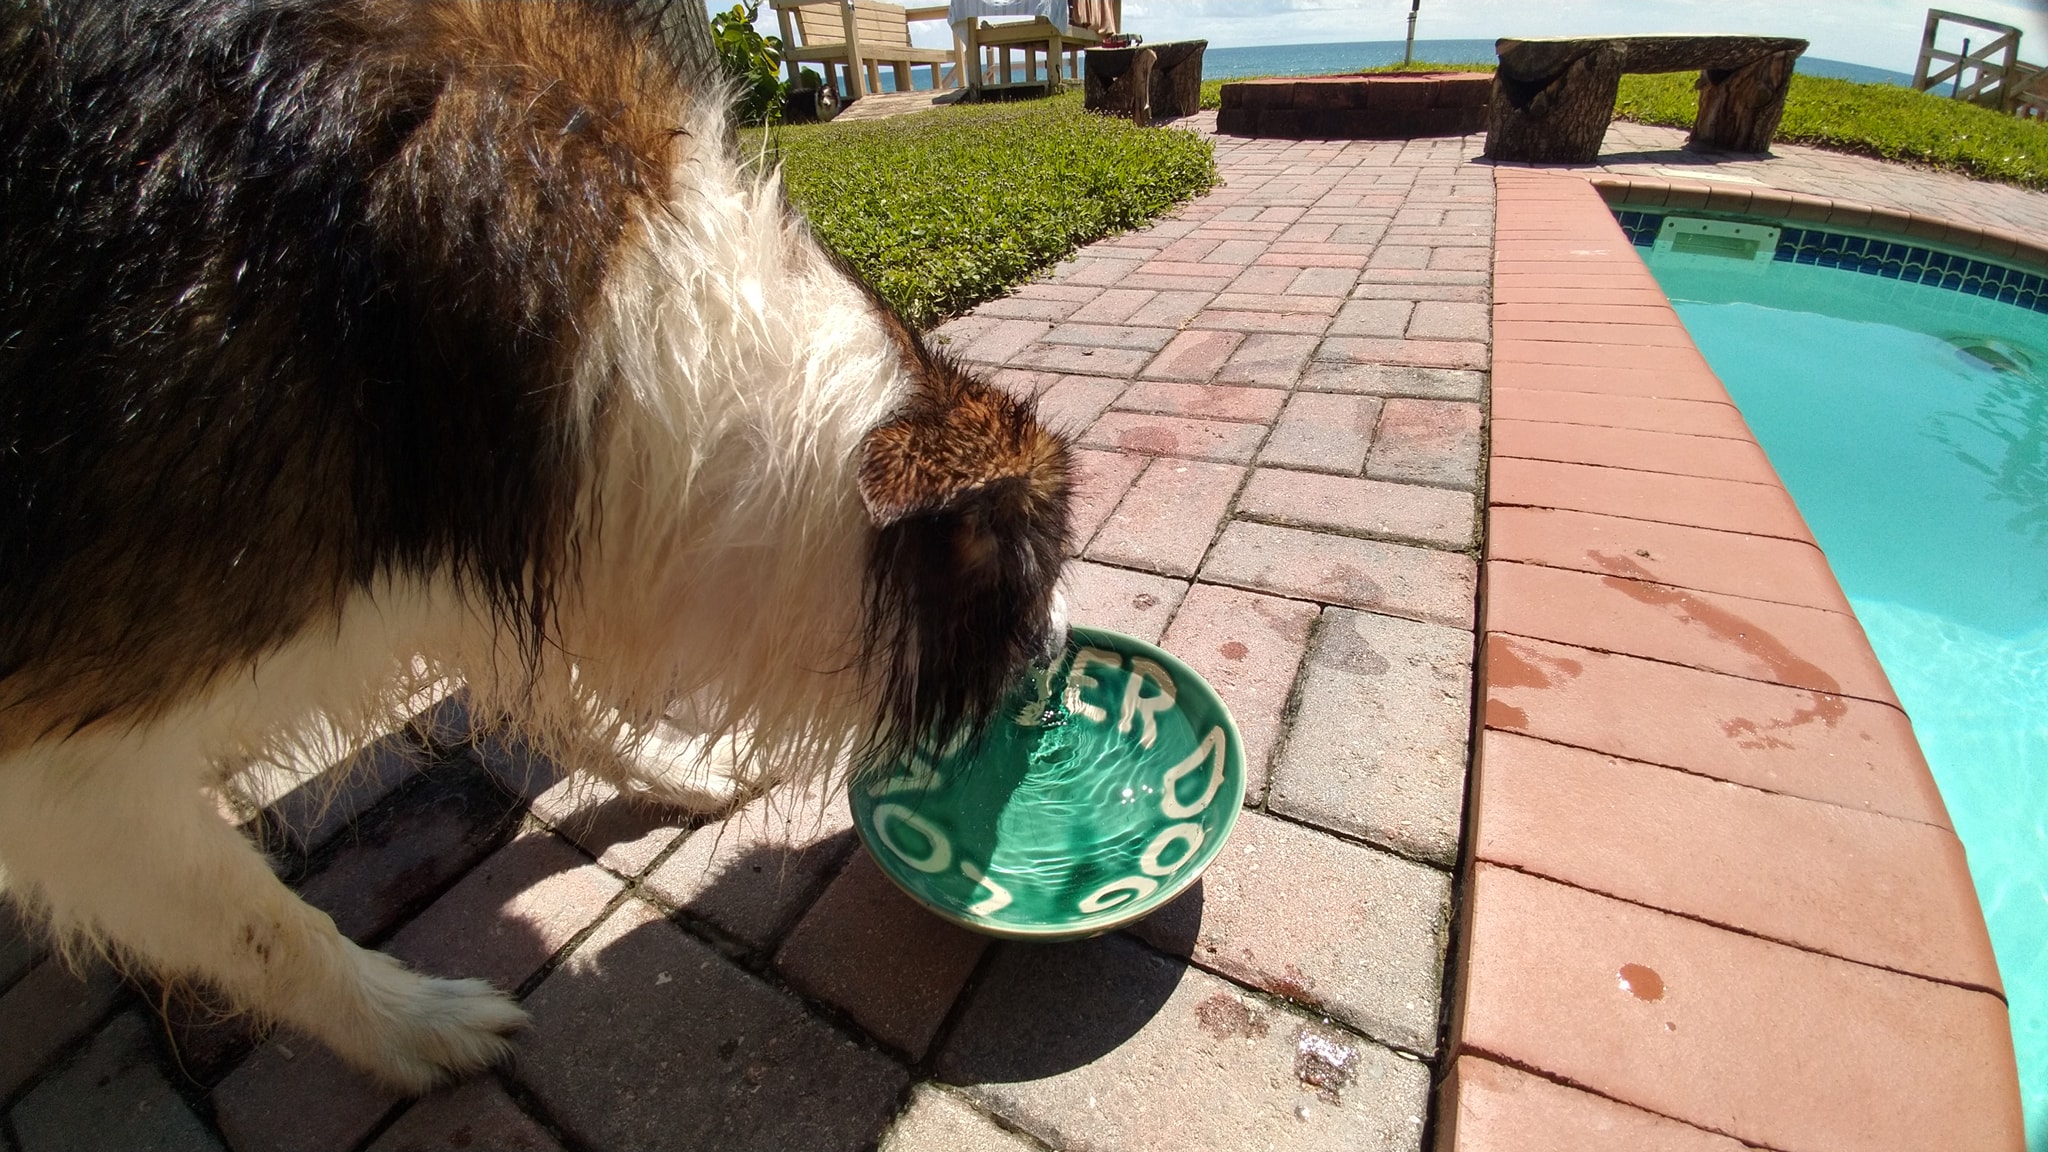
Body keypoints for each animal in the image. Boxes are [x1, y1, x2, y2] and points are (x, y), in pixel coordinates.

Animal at [0, 0, 1072, 1091]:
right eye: (1038, 573)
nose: (1068, 657)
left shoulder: (482, 548)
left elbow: (570, 692)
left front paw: (677, 769)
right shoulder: (71, 767)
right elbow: (261, 923)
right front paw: (411, 1026)